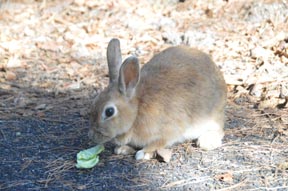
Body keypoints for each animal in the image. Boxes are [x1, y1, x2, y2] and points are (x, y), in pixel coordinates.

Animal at [88, 37, 227, 160]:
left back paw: (207, 141)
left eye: (109, 111)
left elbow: (159, 142)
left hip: (211, 118)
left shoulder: (169, 130)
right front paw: (123, 149)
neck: (137, 110)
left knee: (219, 131)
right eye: (94, 102)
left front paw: (144, 153)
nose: (93, 137)